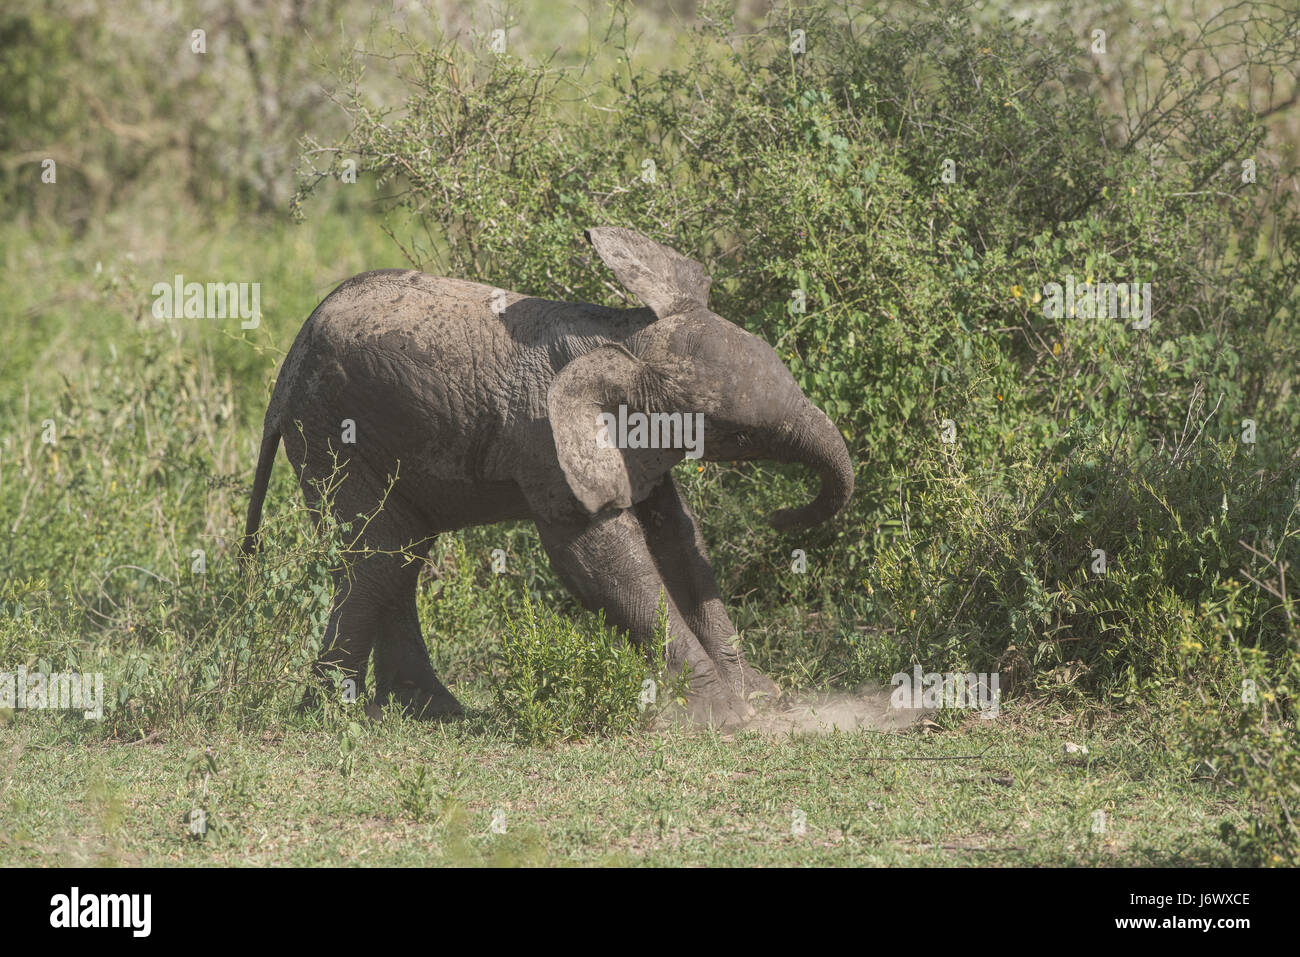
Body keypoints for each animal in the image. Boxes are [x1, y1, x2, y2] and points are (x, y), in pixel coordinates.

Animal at [241, 227, 852, 728]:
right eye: (740, 436)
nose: (780, 515)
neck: (622, 338)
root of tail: (283, 373)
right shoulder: (547, 442)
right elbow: (597, 558)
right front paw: (726, 718)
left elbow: (679, 538)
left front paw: (760, 697)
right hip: (331, 430)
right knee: (378, 556)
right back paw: (331, 716)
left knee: (401, 555)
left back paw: (430, 711)